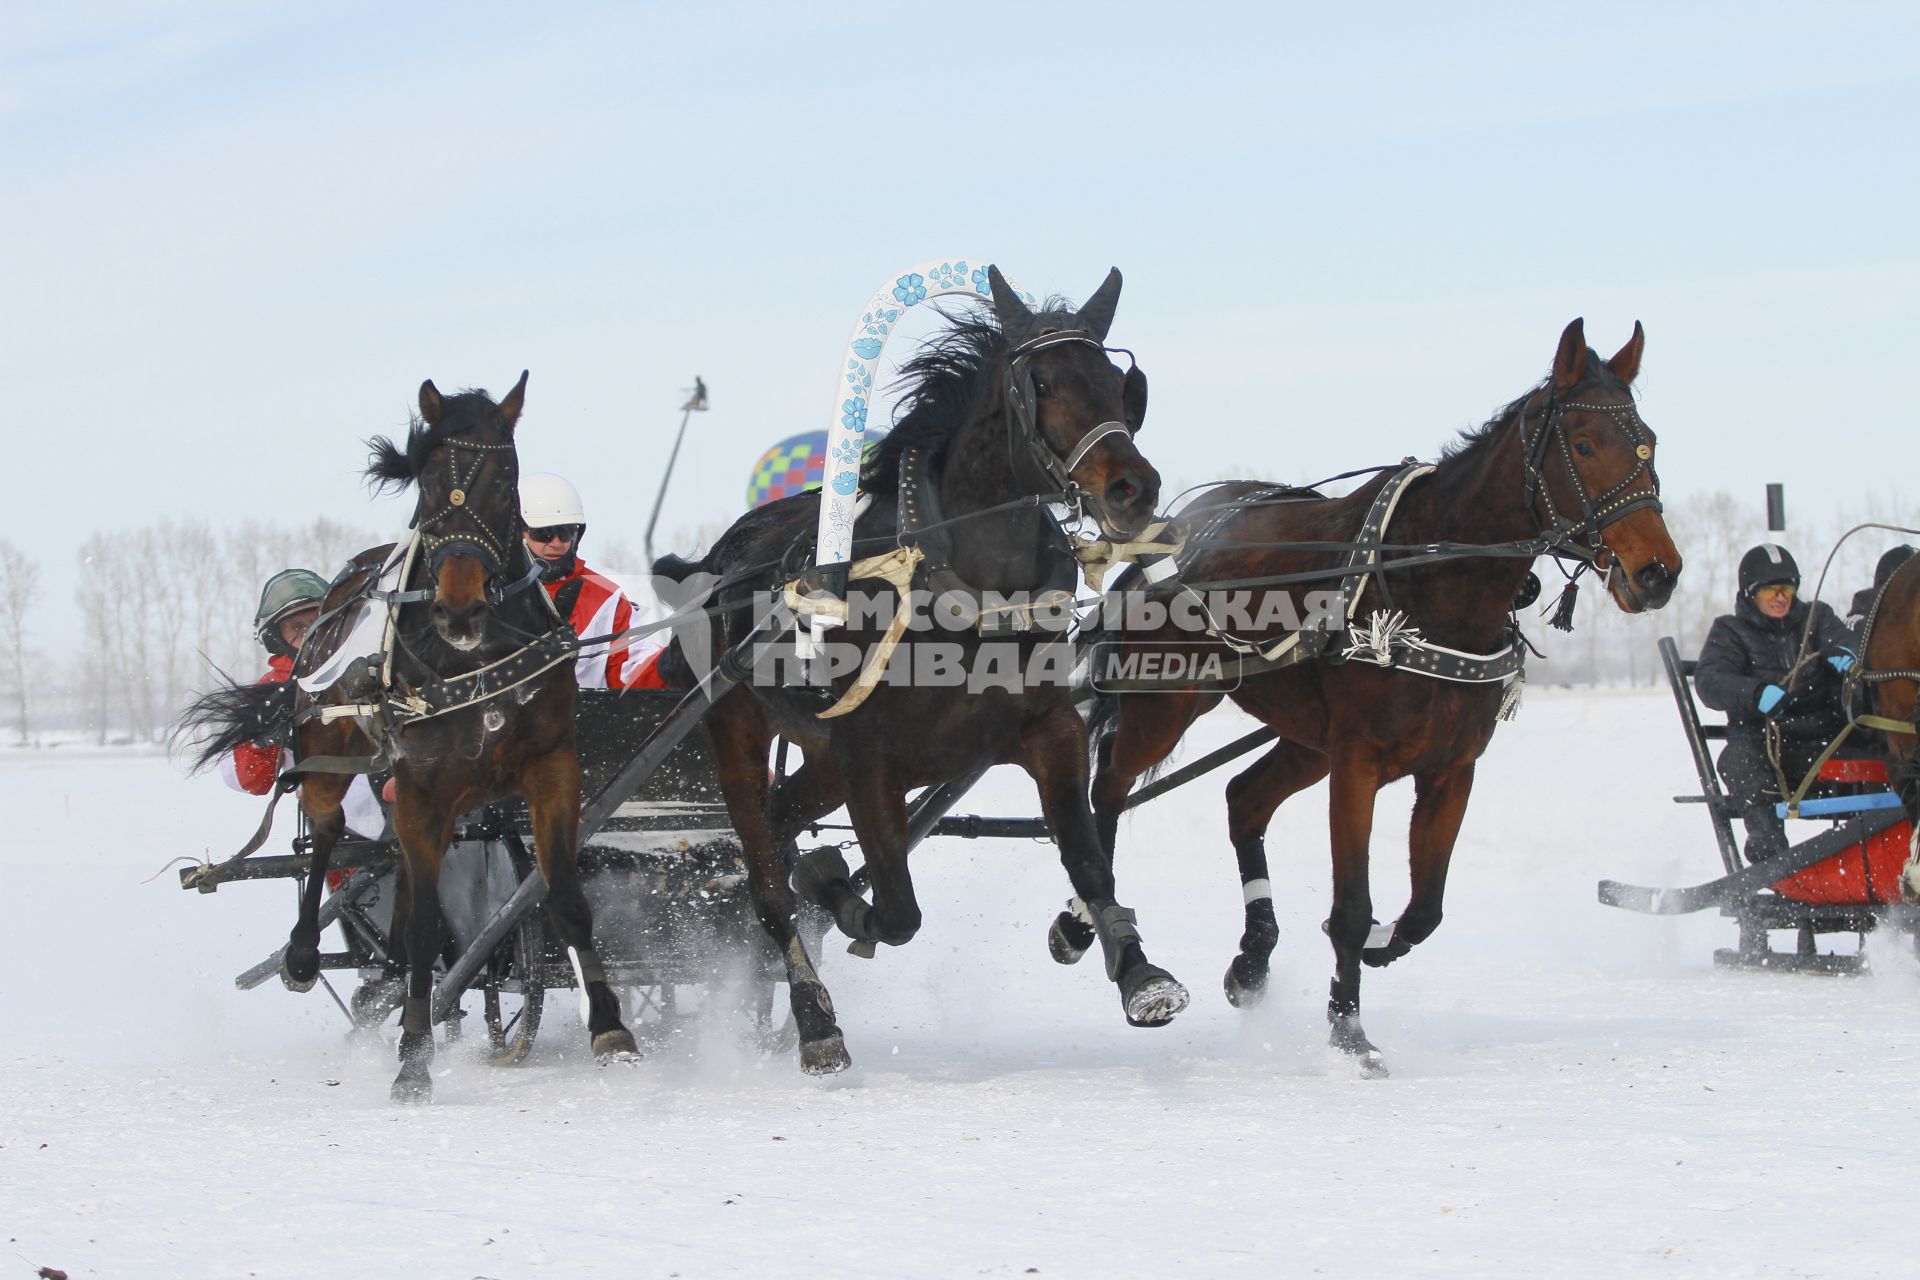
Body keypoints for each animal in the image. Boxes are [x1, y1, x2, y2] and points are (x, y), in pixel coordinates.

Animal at [178, 372, 637, 1105]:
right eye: (427, 484)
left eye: (505, 479)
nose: (459, 607)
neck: (475, 658)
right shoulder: (424, 787)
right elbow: (425, 922)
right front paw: (414, 1057)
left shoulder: (552, 769)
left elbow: (565, 897)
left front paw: (612, 1027)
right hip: (327, 750)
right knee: (327, 833)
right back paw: (306, 953)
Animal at [652, 264, 1175, 1074]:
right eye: (1042, 381)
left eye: (1123, 386)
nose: (1132, 489)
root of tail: (720, 561)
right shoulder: (870, 758)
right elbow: (897, 912)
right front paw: (833, 885)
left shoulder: (1047, 730)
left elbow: (1090, 862)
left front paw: (1140, 972)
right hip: (736, 730)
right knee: (767, 879)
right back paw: (813, 1014)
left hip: (819, 757)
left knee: (782, 819)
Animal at [1082, 318, 1681, 1074]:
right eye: (1582, 444)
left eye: (1649, 441)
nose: (1657, 572)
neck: (1430, 580)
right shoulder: (1358, 763)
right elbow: (1352, 905)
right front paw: (1349, 1030)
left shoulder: (1451, 768)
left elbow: (1424, 911)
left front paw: (1374, 950)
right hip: (1167, 703)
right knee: (1107, 791)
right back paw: (1088, 923)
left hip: (1306, 738)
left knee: (1243, 798)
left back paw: (1252, 959)